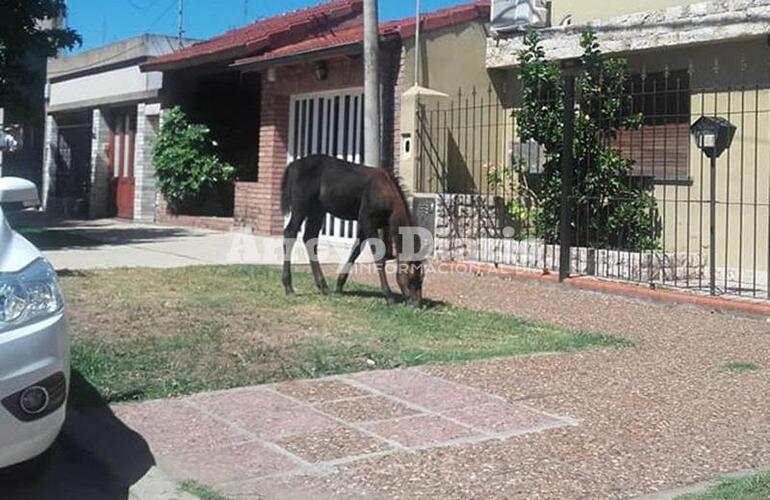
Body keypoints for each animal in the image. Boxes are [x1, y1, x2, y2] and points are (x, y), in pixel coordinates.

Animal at [278, 154, 424, 306]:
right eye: (414, 278)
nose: (417, 303)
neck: (385, 191)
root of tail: (292, 166)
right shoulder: (367, 220)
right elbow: (378, 257)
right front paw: (389, 297)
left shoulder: (368, 226)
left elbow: (355, 252)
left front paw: (338, 287)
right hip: (300, 208)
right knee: (290, 233)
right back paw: (289, 287)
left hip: (317, 211)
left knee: (309, 237)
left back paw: (324, 287)